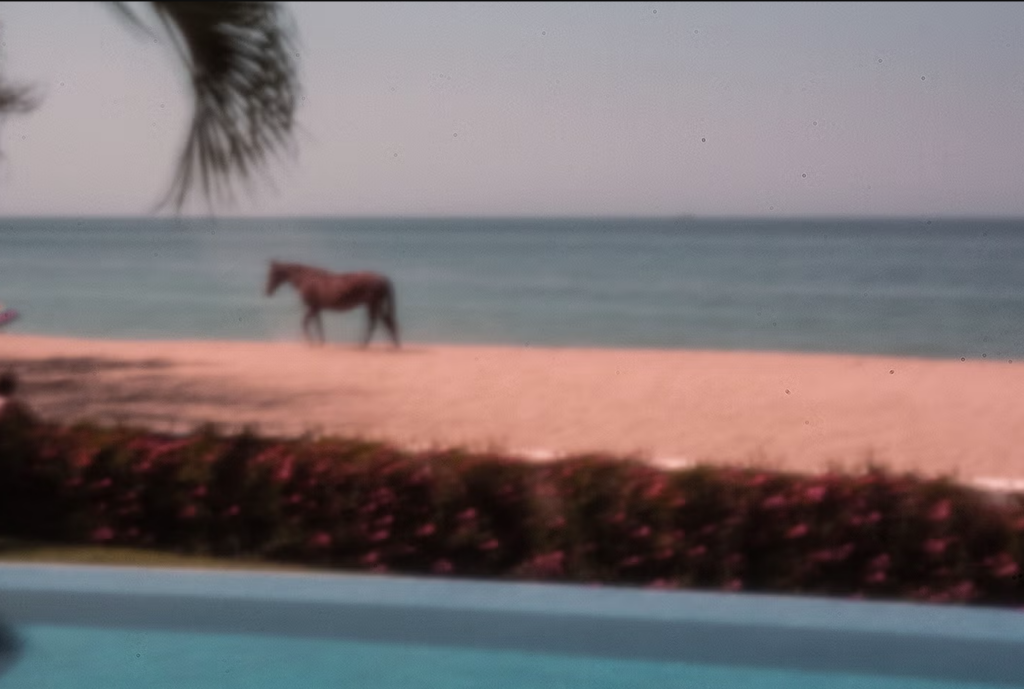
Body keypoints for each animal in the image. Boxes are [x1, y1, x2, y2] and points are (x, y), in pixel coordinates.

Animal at [264, 262, 399, 352]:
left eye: (273, 274)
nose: (267, 291)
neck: (306, 278)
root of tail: (382, 279)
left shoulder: (312, 307)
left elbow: (305, 323)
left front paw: (311, 343)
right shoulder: (317, 308)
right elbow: (318, 325)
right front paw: (321, 342)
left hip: (373, 304)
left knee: (375, 323)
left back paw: (363, 345)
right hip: (375, 304)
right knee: (386, 321)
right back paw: (391, 345)